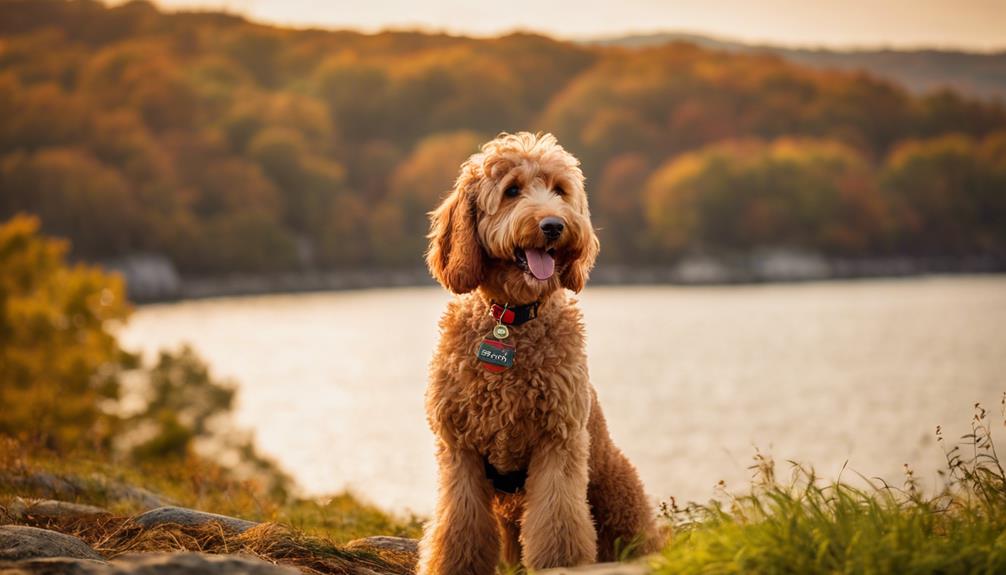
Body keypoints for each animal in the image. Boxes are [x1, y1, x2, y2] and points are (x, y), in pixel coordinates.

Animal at [418, 132, 659, 570]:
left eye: (560, 191)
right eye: (512, 190)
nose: (553, 225)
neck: (511, 319)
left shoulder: (558, 441)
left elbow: (558, 521)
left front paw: (560, 564)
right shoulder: (460, 450)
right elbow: (458, 526)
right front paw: (455, 565)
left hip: (618, 495)